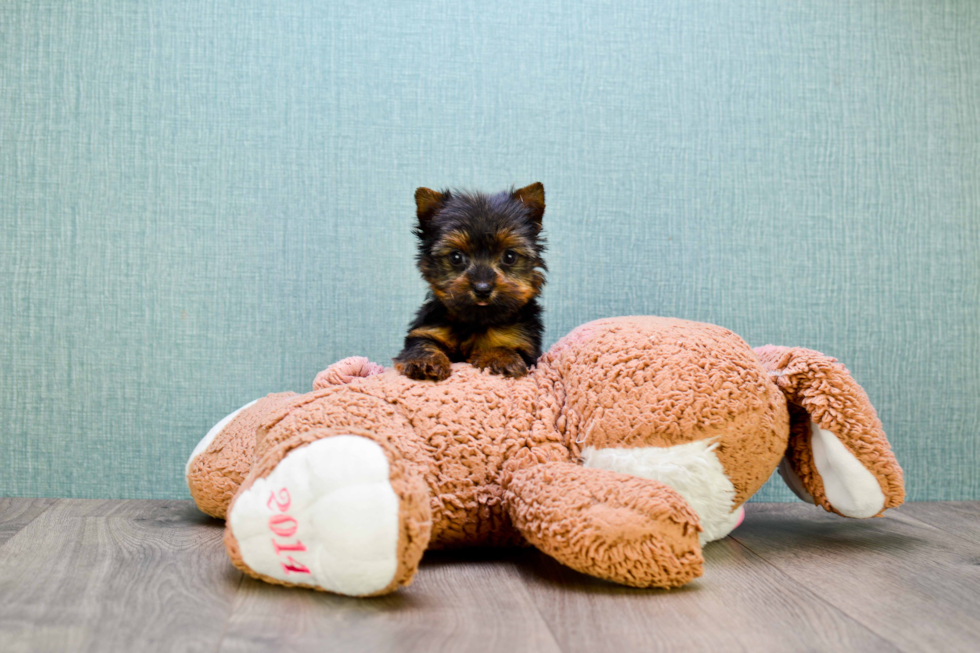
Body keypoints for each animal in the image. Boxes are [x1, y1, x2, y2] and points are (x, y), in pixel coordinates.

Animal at [394, 182, 548, 382]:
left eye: (509, 256)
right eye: (456, 257)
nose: (482, 288)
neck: (476, 320)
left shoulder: (523, 343)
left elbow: (500, 346)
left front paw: (502, 358)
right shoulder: (429, 329)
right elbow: (422, 343)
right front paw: (425, 361)